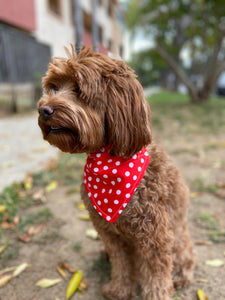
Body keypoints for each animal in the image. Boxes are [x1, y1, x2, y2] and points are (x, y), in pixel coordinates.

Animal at [37, 45, 195, 300]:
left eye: (79, 89)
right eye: (53, 87)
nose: (43, 110)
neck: (110, 161)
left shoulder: (155, 237)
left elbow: (156, 276)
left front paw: (156, 294)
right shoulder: (110, 234)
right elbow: (121, 264)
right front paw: (119, 289)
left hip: (177, 236)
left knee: (186, 255)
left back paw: (181, 276)